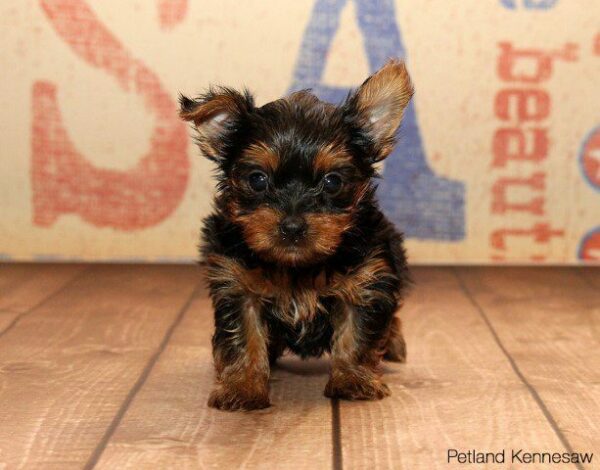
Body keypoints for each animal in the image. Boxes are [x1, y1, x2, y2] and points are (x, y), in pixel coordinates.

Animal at [178, 59, 412, 412]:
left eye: (332, 181)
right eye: (257, 179)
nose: (291, 226)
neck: (297, 268)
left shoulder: (366, 280)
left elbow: (357, 333)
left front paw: (353, 380)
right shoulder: (236, 283)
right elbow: (243, 335)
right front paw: (243, 387)